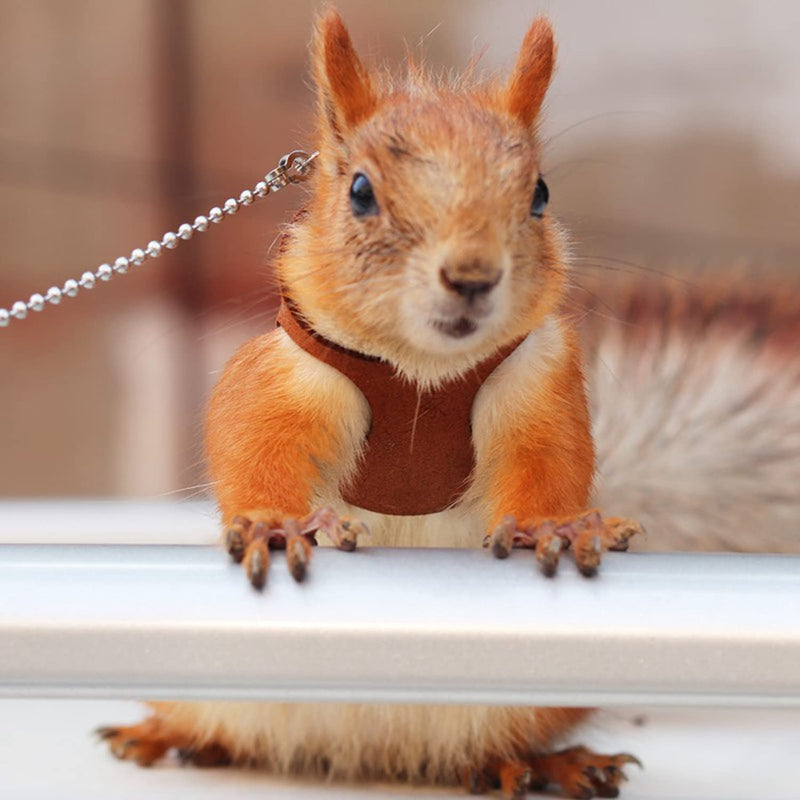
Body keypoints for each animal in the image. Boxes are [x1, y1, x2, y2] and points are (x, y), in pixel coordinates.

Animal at [98, 5, 800, 797]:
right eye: (361, 192)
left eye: (540, 194)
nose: (472, 276)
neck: (423, 373)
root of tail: (364, 752)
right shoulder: (276, 379)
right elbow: (252, 439)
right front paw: (278, 524)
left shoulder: (541, 385)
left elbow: (550, 460)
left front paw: (554, 528)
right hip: (200, 684)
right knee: (214, 722)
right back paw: (167, 735)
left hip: (535, 700)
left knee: (486, 748)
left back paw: (543, 763)